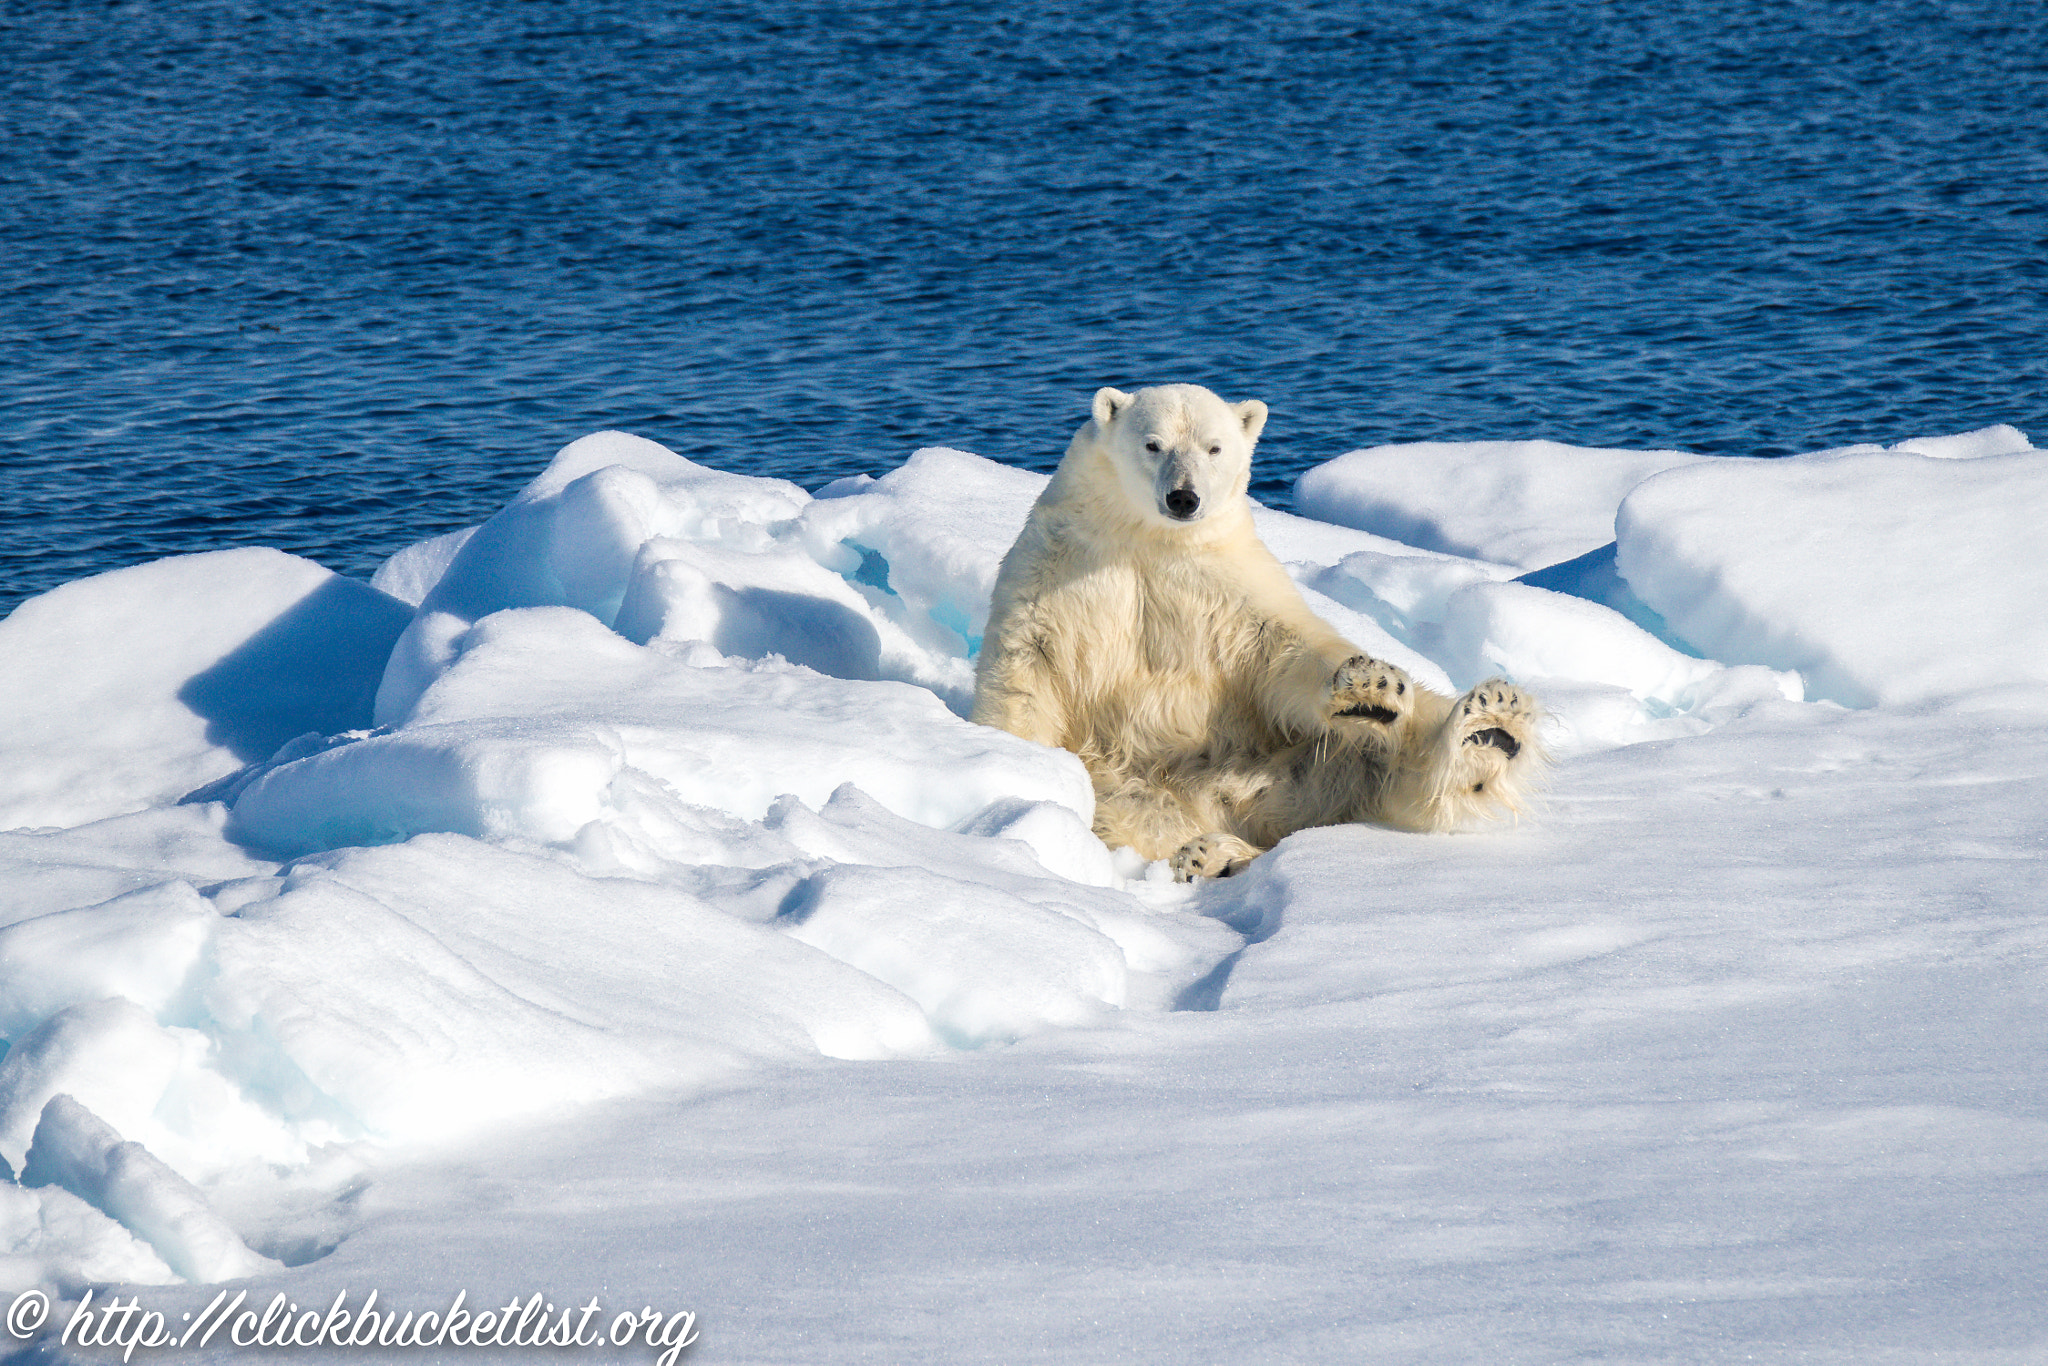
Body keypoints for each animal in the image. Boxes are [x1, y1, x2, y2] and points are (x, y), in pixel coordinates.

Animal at [970, 382, 1540, 888]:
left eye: (1213, 447)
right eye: (1153, 444)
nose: (1183, 498)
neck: (1149, 537)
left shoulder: (1229, 580)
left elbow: (1285, 646)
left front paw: (1369, 686)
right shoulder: (1058, 565)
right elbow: (1026, 669)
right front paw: (1019, 773)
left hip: (1294, 759)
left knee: (1397, 736)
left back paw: (1489, 728)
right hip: (1123, 785)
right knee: (1130, 820)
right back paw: (1208, 855)